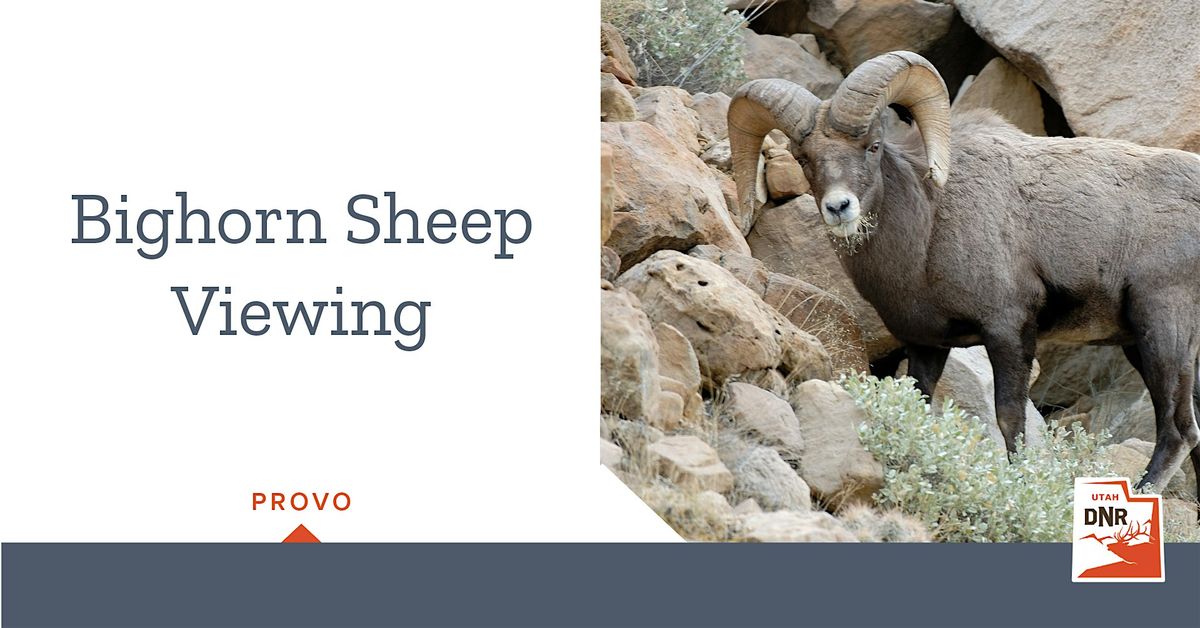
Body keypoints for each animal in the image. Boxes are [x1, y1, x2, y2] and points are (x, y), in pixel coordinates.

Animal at [728, 51, 1200, 502]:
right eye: (804, 158)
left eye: (873, 146)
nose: (839, 207)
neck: (928, 227)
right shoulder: (925, 345)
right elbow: (920, 406)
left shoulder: (1008, 330)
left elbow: (1009, 419)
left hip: (1162, 329)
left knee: (1178, 430)